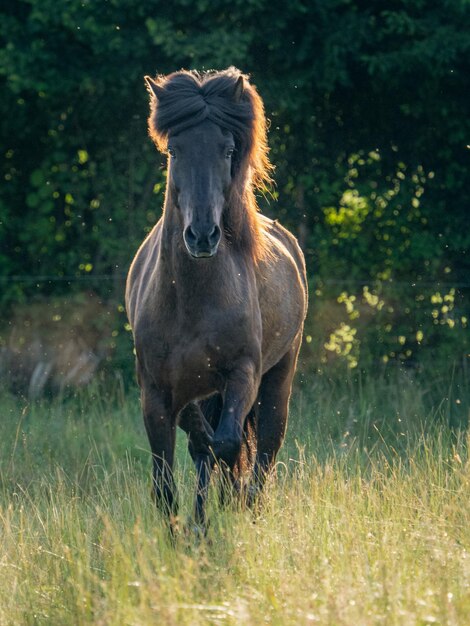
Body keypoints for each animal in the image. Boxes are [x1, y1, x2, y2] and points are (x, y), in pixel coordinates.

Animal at [125, 67, 308, 528]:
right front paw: (186, 531)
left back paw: (245, 505)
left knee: (264, 452)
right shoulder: (154, 393)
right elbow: (168, 480)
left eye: (227, 150)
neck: (191, 301)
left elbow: (225, 445)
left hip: (279, 380)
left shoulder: (242, 373)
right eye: (175, 149)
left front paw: (217, 511)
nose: (203, 235)